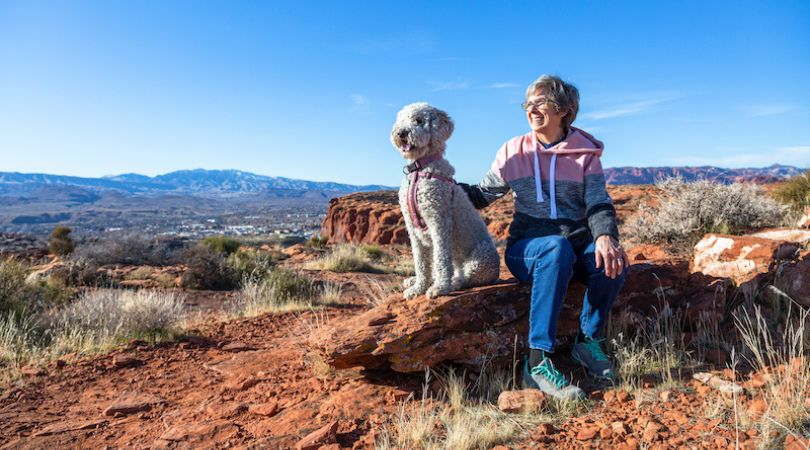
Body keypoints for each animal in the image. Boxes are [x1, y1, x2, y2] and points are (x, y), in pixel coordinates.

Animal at [390, 102, 498, 298]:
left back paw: (451, 283)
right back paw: (414, 280)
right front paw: (418, 288)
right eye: (401, 120)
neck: (419, 170)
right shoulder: (412, 229)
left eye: (418, 120)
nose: (401, 133)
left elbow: (441, 259)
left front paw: (439, 288)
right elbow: (421, 262)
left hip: (480, 258)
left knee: (465, 278)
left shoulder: (438, 222)